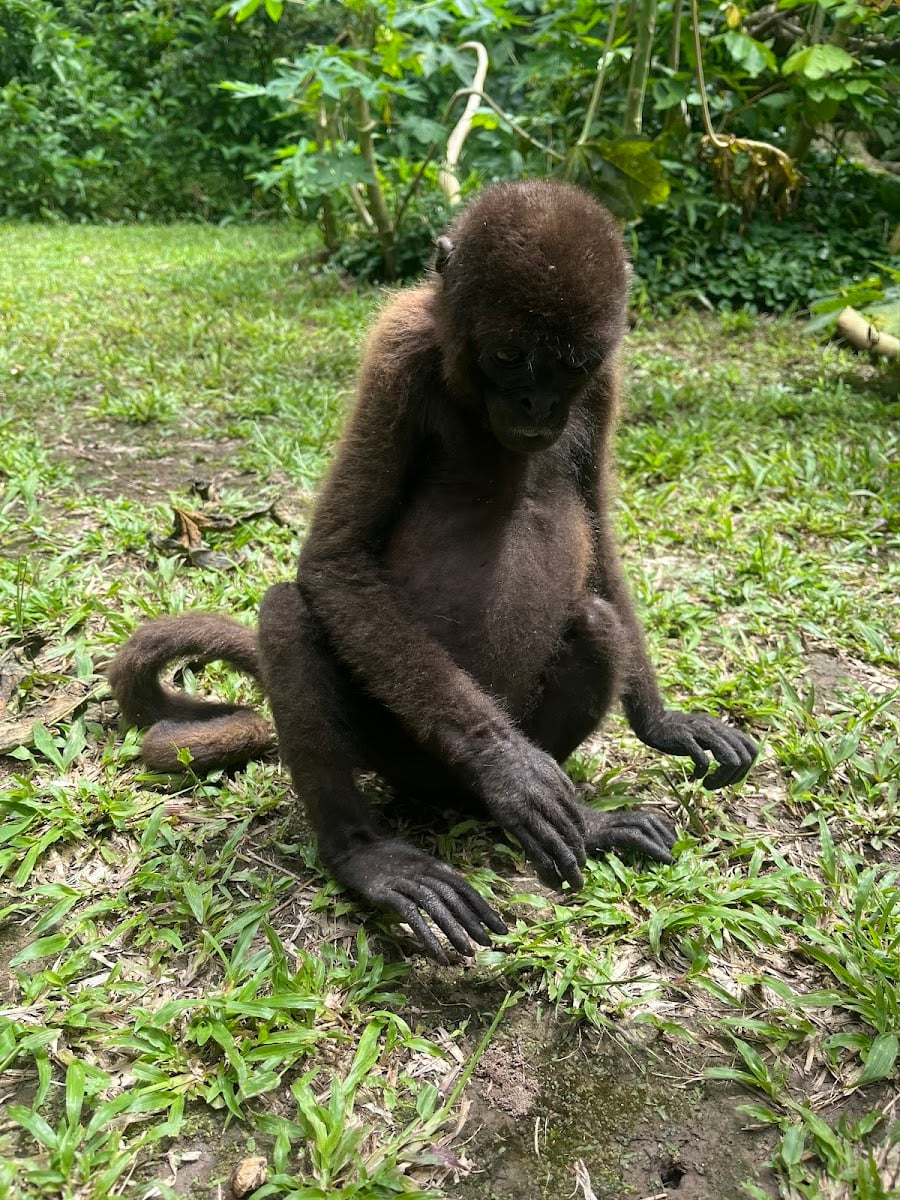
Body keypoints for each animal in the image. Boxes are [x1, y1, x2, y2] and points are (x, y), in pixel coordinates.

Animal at [107, 180, 758, 963]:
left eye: (569, 365)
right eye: (509, 356)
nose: (539, 405)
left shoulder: (603, 386)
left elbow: (599, 535)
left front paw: (663, 722)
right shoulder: (399, 348)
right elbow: (334, 560)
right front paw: (506, 768)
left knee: (598, 620)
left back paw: (572, 820)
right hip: (394, 745)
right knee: (288, 611)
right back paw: (370, 855)